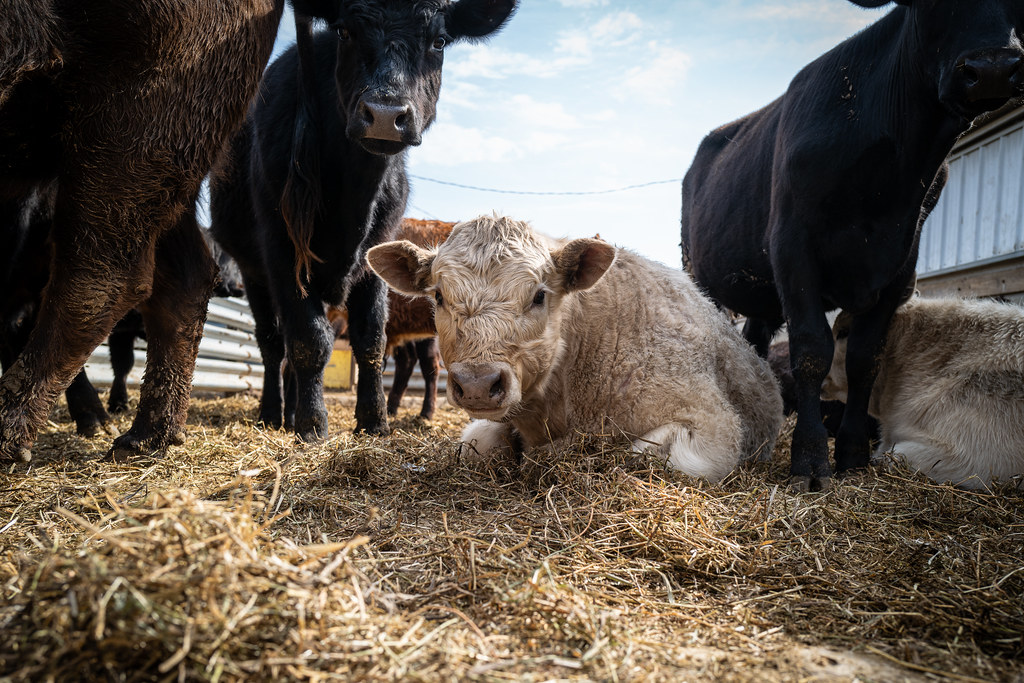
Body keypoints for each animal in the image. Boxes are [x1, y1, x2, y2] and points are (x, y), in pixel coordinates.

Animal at [0, 1, 352, 463]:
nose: (235, 287)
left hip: (139, 118)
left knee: (103, 275)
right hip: (171, 166)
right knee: (182, 278)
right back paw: (140, 439)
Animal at [209, 1, 517, 442]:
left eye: (439, 41)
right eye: (345, 32)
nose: (386, 115)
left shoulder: (376, 254)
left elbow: (370, 339)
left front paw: (374, 421)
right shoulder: (283, 252)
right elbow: (308, 341)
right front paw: (311, 424)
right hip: (253, 272)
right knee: (272, 344)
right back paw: (273, 413)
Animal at [367, 215, 783, 481]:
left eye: (539, 295)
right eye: (438, 295)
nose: (477, 384)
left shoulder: (714, 427)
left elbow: (648, 454)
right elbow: (479, 444)